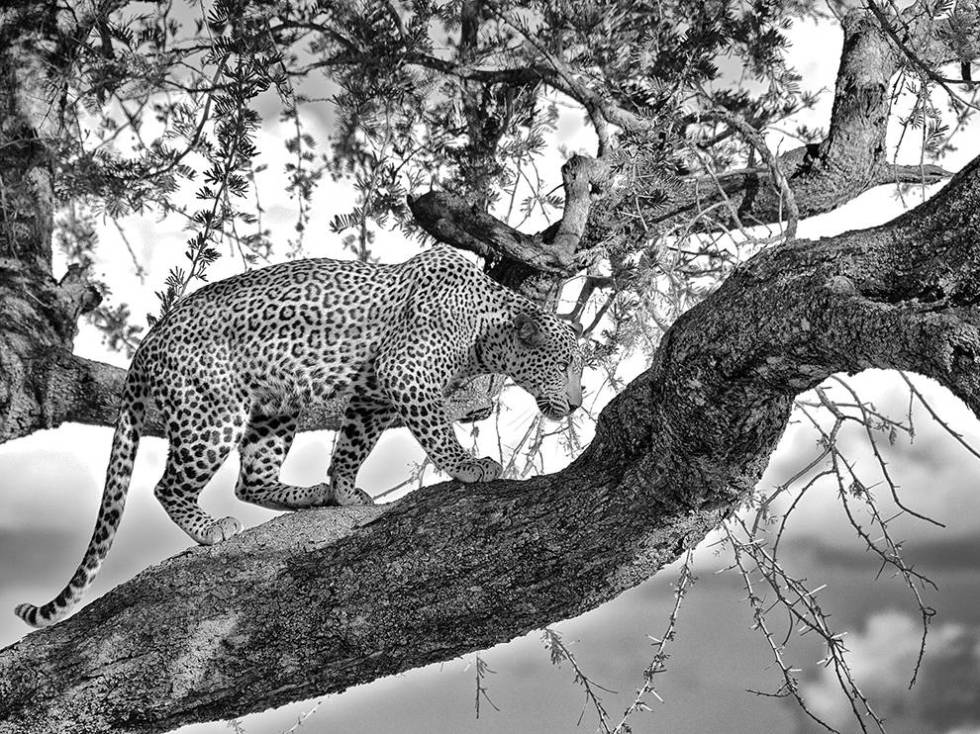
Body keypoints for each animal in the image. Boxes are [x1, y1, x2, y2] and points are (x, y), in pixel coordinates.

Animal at [15, 245, 584, 627]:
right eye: (566, 367)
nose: (578, 403)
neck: (490, 327)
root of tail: (146, 346)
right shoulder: (405, 373)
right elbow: (437, 430)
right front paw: (470, 465)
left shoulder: (375, 394)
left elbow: (353, 443)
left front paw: (344, 489)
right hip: (214, 414)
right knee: (168, 485)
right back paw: (211, 528)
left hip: (276, 405)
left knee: (251, 479)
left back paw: (312, 494)